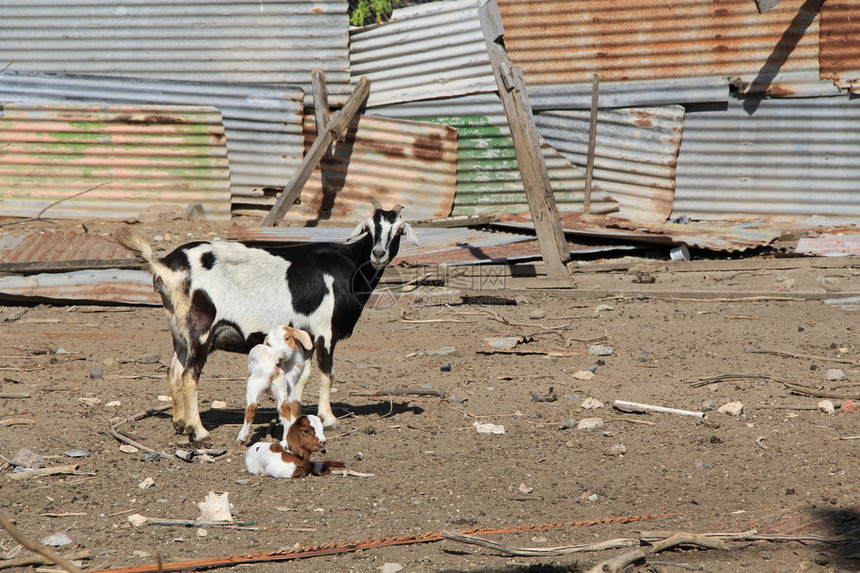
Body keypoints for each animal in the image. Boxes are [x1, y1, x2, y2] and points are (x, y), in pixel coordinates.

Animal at [113, 201, 416, 442]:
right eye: (369, 229)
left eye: (399, 230)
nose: (378, 254)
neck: (350, 266)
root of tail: (166, 264)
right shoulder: (325, 332)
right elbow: (327, 373)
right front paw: (329, 419)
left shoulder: (305, 336)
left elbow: (303, 376)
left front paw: (296, 412)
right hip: (201, 329)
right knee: (190, 376)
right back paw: (198, 431)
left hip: (180, 331)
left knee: (174, 371)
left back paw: (179, 422)